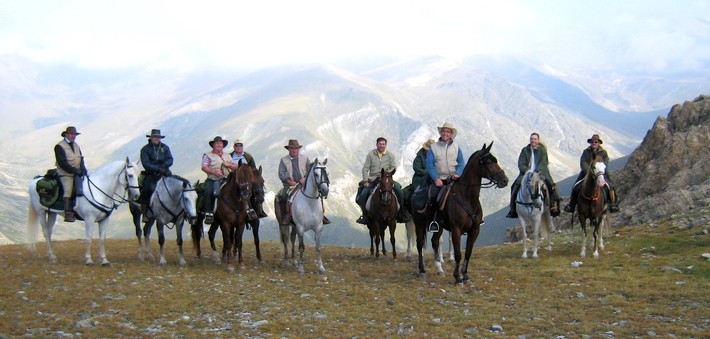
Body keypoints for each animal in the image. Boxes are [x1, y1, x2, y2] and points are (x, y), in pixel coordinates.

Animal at [408, 142, 508, 286]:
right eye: (489, 162)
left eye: (495, 160)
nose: (505, 180)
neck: (467, 197)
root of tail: (416, 191)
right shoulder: (456, 230)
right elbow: (458, 254)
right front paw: (457, 277)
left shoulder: (475, 230)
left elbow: (468, 253)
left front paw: (465, 275)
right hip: (419, 223)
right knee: (420, 244)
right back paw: (422, 270)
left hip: (438, 227)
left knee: (434, 242)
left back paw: (439, 269)